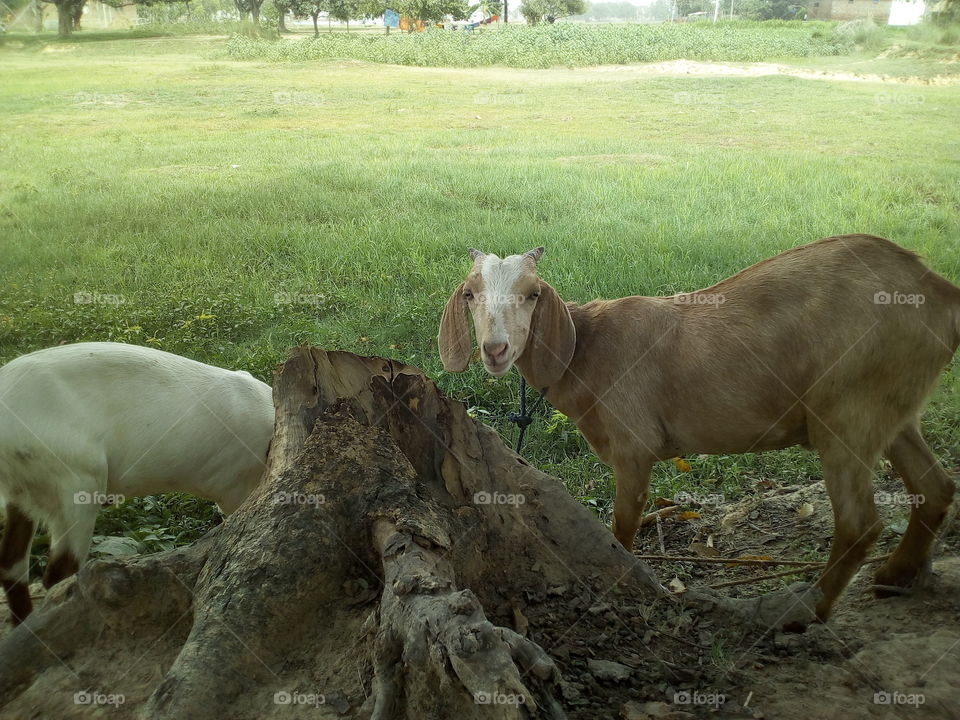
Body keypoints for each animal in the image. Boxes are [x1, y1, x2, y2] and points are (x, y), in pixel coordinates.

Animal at [438, 235, 960, 622]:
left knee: (859, 521)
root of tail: (938, 291)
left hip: (847, 409)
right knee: (935, 486)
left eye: (532, 294)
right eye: (469, 294)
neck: (586, 350)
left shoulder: (633, 446)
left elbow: (623, 525)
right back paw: (894, 576)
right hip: (890, 407)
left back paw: (806, 612)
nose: (496, 349)